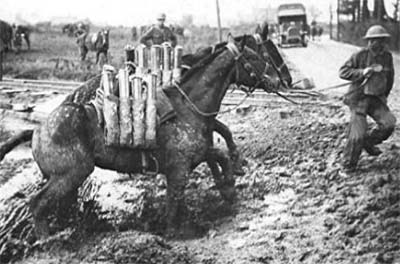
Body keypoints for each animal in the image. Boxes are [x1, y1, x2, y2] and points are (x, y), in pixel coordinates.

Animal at [0, 34, 276, 237]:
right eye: (254, 57)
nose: (278, 81)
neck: (187, 107)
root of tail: (37, 130)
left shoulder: (195, 156)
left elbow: (219, 156)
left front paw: (228, 190)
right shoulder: (178, 170)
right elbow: (174, 203)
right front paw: (175, 233)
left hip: (66, 179)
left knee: (57, 205)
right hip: (70, 175)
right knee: (37, 204)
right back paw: (49, 241)